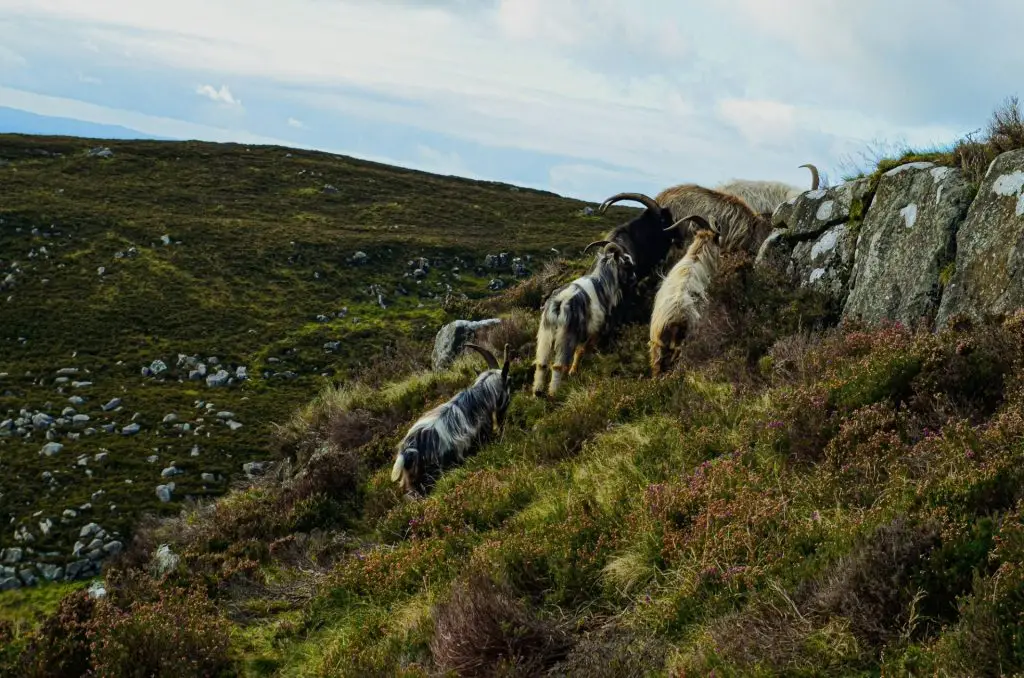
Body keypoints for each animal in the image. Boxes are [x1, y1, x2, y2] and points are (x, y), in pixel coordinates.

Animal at [532, 241, 635, 398]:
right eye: (627, 264)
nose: (634, 278)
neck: (603, 281)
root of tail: (560, 302)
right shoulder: (595, 328)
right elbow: (581, 350)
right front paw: (573, 371)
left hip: (546, 331)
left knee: (541, 364)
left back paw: (537, 392)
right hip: (566, 334)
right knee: (558, 365)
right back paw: (554, 393)